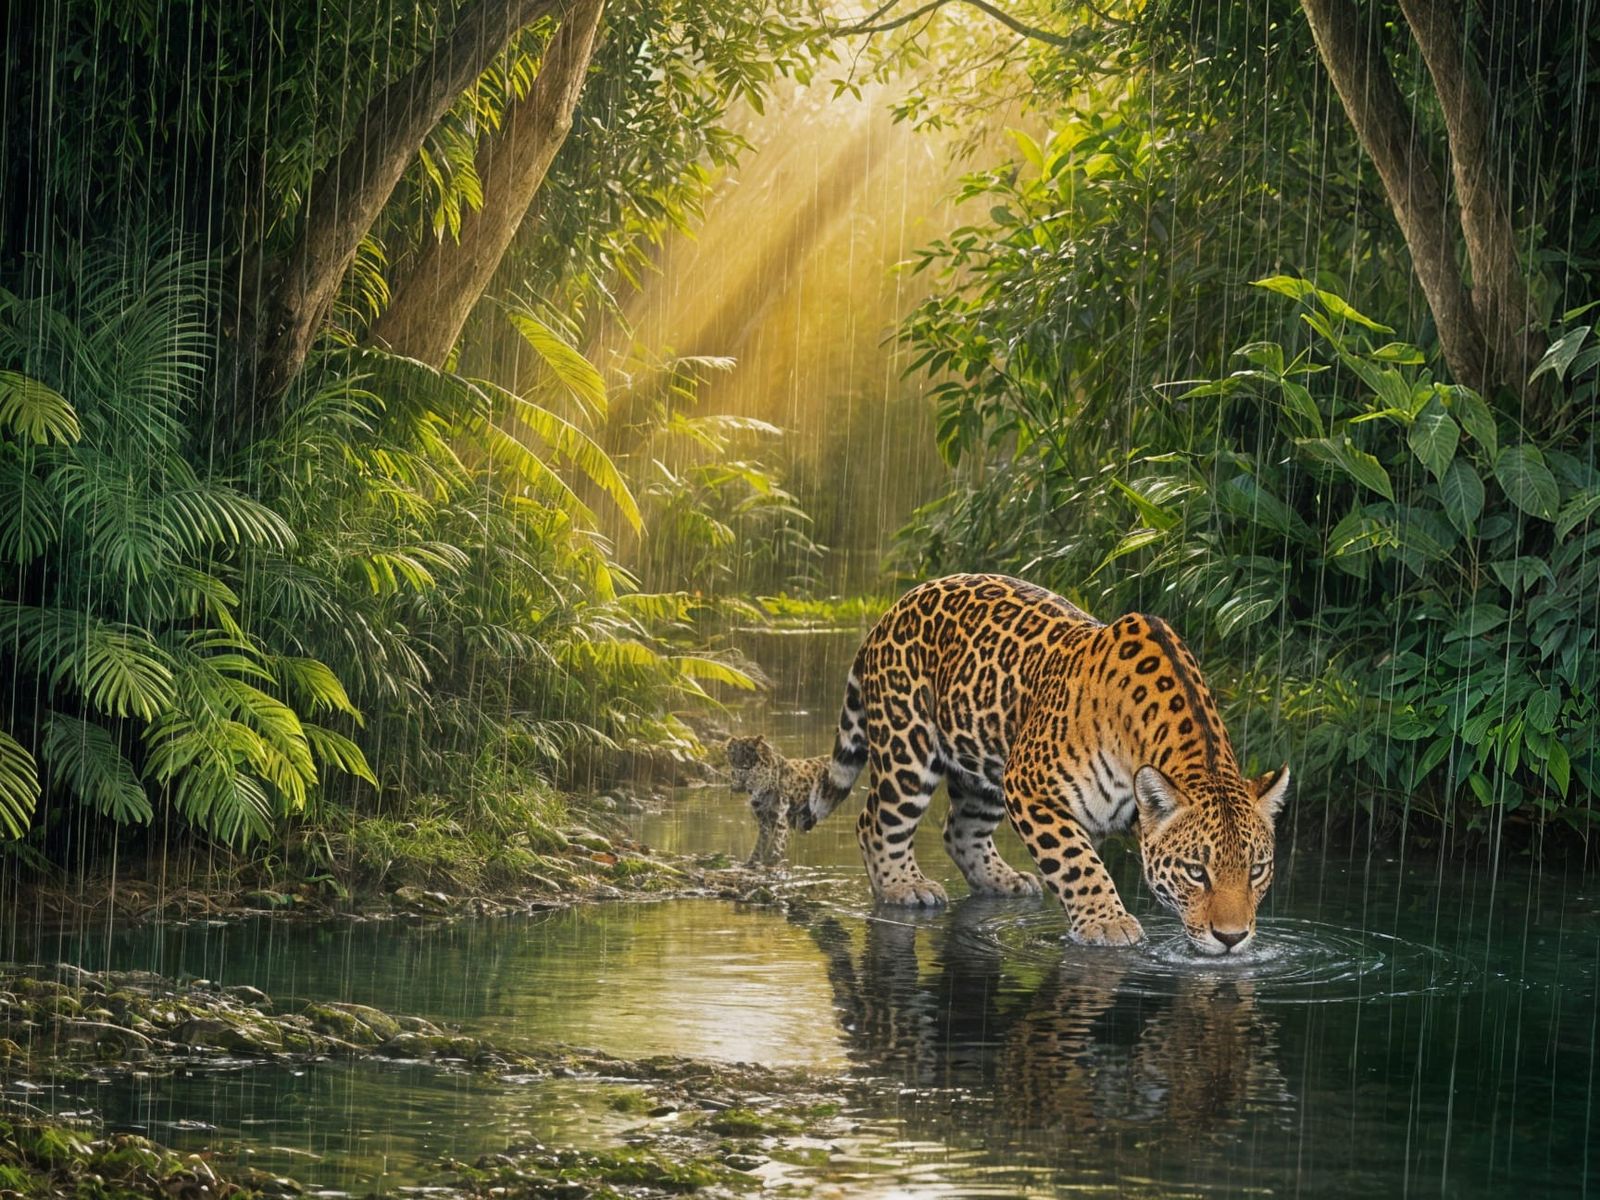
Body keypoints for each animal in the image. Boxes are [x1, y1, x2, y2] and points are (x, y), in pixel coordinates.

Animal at [724, 734, 830, 867]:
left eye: (742, 751)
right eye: (731, 753)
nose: (734, 778)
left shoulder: (780, 821)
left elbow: (776, 845)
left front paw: (771, 862)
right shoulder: (763, 821)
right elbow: (760, 845)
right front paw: (752, 863)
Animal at [794, 573, 1290, 955]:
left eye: (1257, 870)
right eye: (1196, 872)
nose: (1232, 938)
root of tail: (894, 608)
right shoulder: (1031, 788)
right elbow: (1079, 864)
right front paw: (1107, 923)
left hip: (984, 767)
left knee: (960, 830)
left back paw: (1004, 881)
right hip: (908, 748)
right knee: (877, 822)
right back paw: (902, 886)